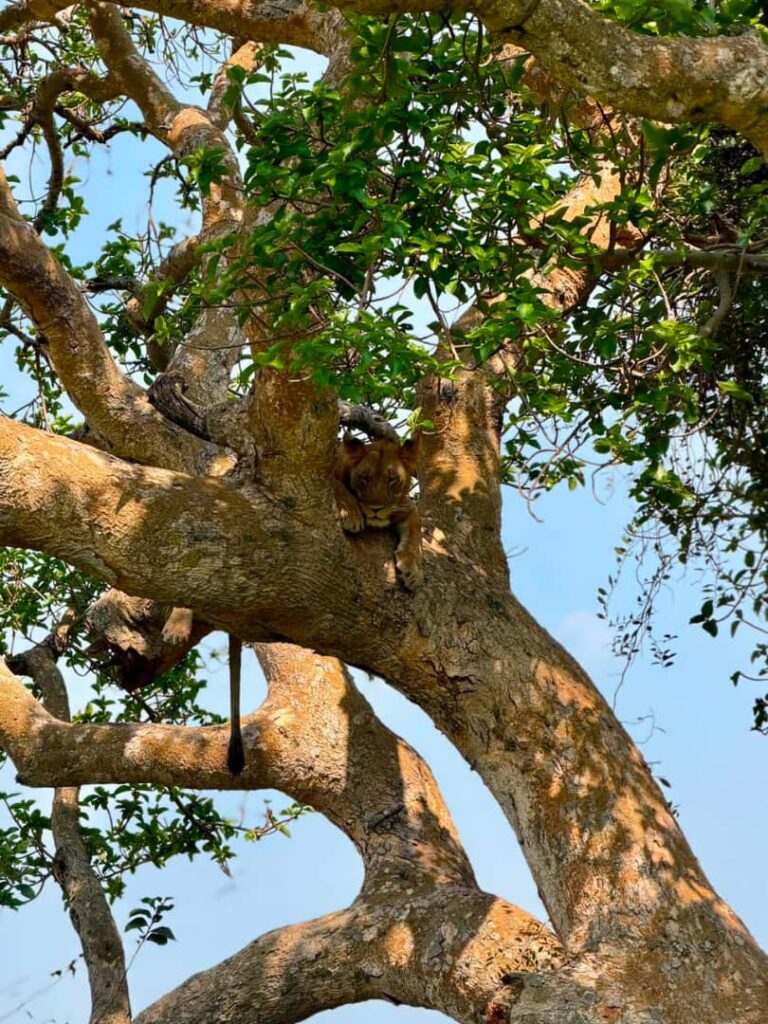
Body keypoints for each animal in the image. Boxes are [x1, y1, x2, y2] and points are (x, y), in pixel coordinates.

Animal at [334, 432, 423, 590]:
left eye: (392, 479)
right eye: (364, 478)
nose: (376, 508)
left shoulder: (405, 508)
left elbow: (415, 535)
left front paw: (414, 570)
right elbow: (338, 486)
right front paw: (351, 515)